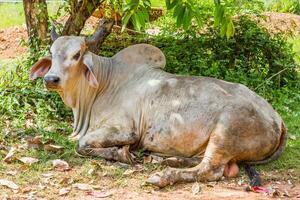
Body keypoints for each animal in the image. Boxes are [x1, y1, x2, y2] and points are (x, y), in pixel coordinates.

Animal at [29, 28, 288, 188]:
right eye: (52, 53)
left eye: (77, 54)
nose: (50, 79)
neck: (104, 84)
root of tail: (278, 118)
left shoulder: (127, 131)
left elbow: (82, 145)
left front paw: (122, 154)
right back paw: (166, 160)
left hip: (225, 133)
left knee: (210, 170)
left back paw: (162, 175)